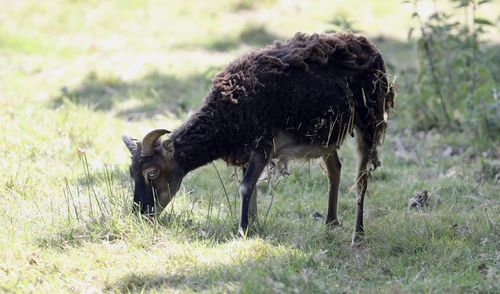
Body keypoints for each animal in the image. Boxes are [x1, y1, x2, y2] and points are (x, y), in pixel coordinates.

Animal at [122, 31, 394, 246]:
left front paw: (242, 230)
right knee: (334, 169)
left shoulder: (263, 145)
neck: (226, 115)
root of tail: (368, 46)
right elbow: (250, 188)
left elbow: (245, 187)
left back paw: (358, 235)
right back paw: (331, 222)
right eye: (132, 174)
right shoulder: (247, 151)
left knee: (361, 179)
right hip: (326, 135)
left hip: (369, 121)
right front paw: (253, 224)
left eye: (152, 172)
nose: (141, 214)